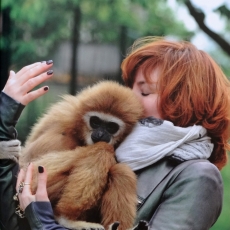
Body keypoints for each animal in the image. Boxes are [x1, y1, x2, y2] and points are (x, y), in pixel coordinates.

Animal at [20, 81, 144, 230]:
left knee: (121, 170)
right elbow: (32, 164)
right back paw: (67, 219)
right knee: (102, 151)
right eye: (95, 122)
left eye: (111, 127)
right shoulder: (63, 120)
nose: (100, 134)